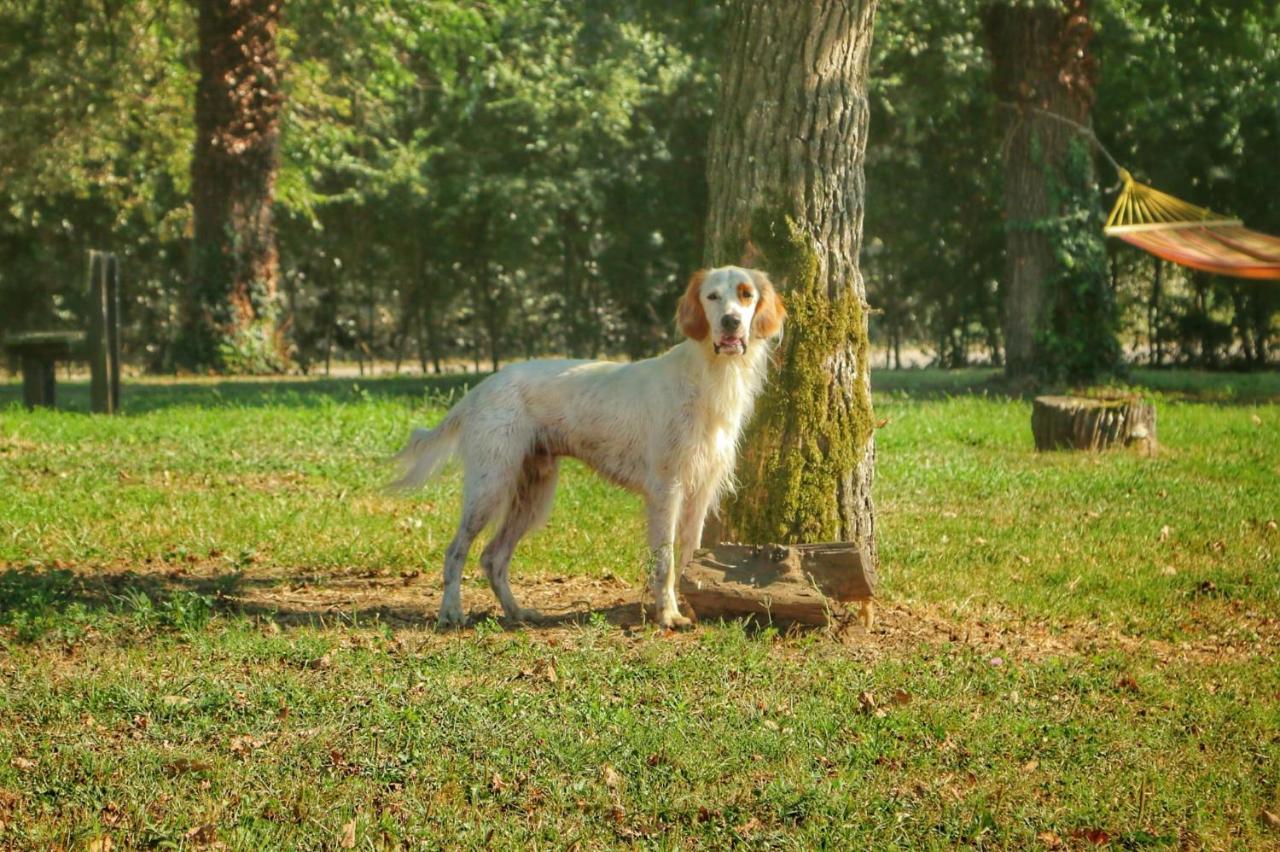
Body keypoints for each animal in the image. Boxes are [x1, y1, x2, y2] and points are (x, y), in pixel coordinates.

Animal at [394, 266, 783, 624]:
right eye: (712, 297)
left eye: (746, 294)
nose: (731, 322)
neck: (709, 376)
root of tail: (483, 386)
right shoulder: (666, 488)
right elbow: (665, 561)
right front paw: (669, 614)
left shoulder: (700, 490)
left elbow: (689, 555)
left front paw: (687, 605)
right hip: (489, 487)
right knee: (456, 551)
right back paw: (451, 612)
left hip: (532, 495)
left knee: (493, 557)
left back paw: (517, 613)